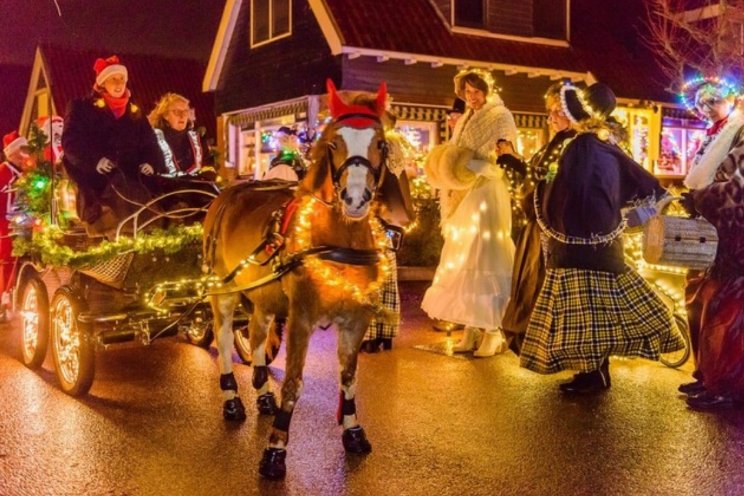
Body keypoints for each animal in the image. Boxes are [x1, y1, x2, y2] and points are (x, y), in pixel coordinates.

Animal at [202, 79, 412, 478]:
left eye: (380, 143)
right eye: (333, 143)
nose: (355, 198)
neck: (338, 240)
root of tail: (230, 191)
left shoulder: (356, 320)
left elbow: (349, 378)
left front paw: (353, 432)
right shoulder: (301, 318)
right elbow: (294, 383)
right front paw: (275, 449)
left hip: (264, 296)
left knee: (256, 335)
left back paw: (262, 392)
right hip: (225, 289)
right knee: (223, 337)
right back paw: (232, 398)